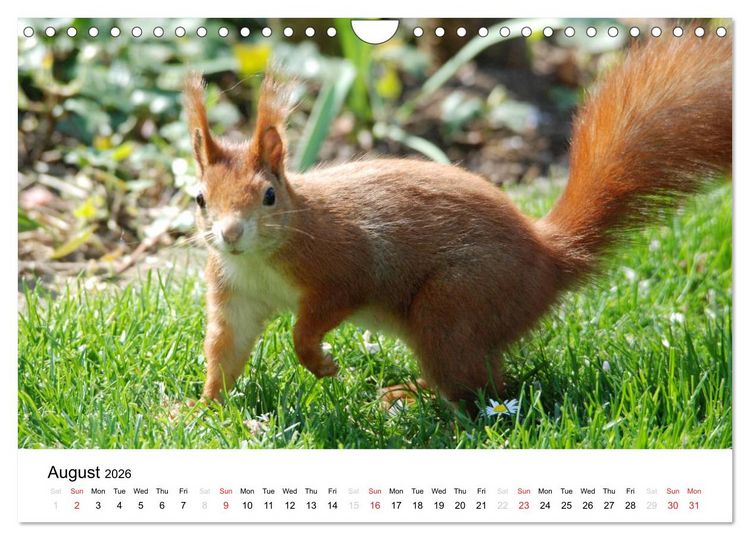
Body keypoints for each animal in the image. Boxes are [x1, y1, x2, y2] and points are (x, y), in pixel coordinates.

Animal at [184, 31, 731, 410]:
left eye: (269, 196)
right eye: (199, 198)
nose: (229, 235)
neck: (260, 259)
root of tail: (550, 258)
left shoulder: (341, 265)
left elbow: (316, 318)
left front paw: (320, 362)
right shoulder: (236, 294)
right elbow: (225, 350)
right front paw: (200, 408)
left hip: (455, 303)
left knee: (486, 389)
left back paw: (423, 404)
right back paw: (412, 392)